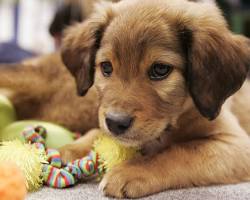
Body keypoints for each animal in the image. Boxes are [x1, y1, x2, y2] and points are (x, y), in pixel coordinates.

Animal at [1, 0, 250, 198]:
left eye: (160, 69)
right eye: (106, 67)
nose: (116, 123)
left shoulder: (236, 144)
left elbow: (182, 151)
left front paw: (130, 171)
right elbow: (96, 132)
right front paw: (67, 150)